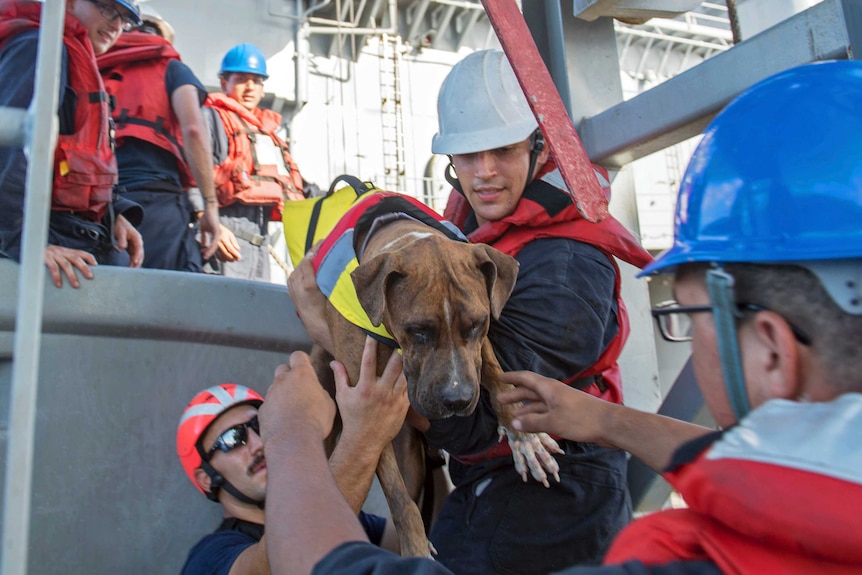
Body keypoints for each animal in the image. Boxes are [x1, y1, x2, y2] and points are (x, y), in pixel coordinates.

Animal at [310, 215, 560, 560]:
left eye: (477, 324)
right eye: (417, 330)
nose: (457, 400)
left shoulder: (479, 347)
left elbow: (497, 376)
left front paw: (523, 437)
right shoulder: (365, 414)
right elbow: (399, 498)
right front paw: (415, 548)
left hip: (411, 455)